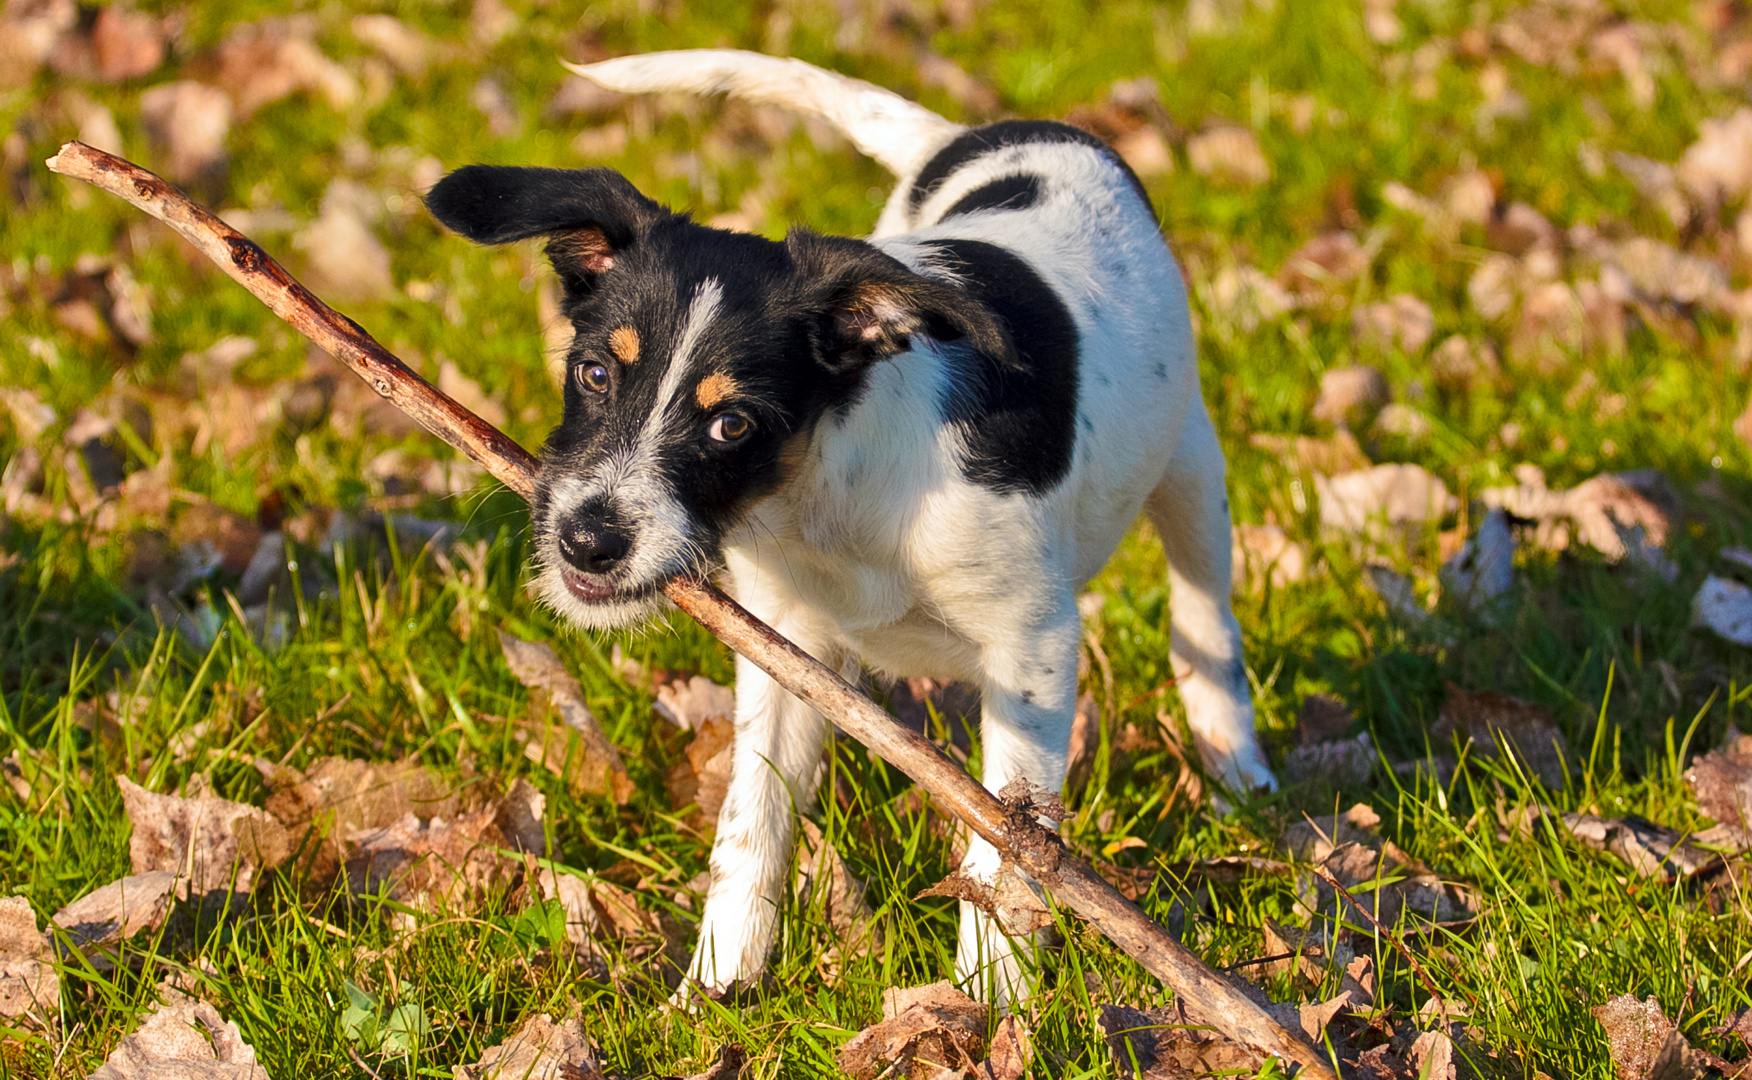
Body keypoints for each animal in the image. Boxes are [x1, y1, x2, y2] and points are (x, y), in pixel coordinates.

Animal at [423, 52, 1275, 1002]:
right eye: (595, 373)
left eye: (733, 425)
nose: (587, 541)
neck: (830, 493)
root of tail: (985, 133)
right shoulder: (787, 644)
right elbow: (749, 823)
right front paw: (714, 991)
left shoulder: (1034, 647)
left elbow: (1010, 847)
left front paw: (992, 1004)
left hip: (1192, 467)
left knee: (1205, 622)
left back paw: (1236, 772)